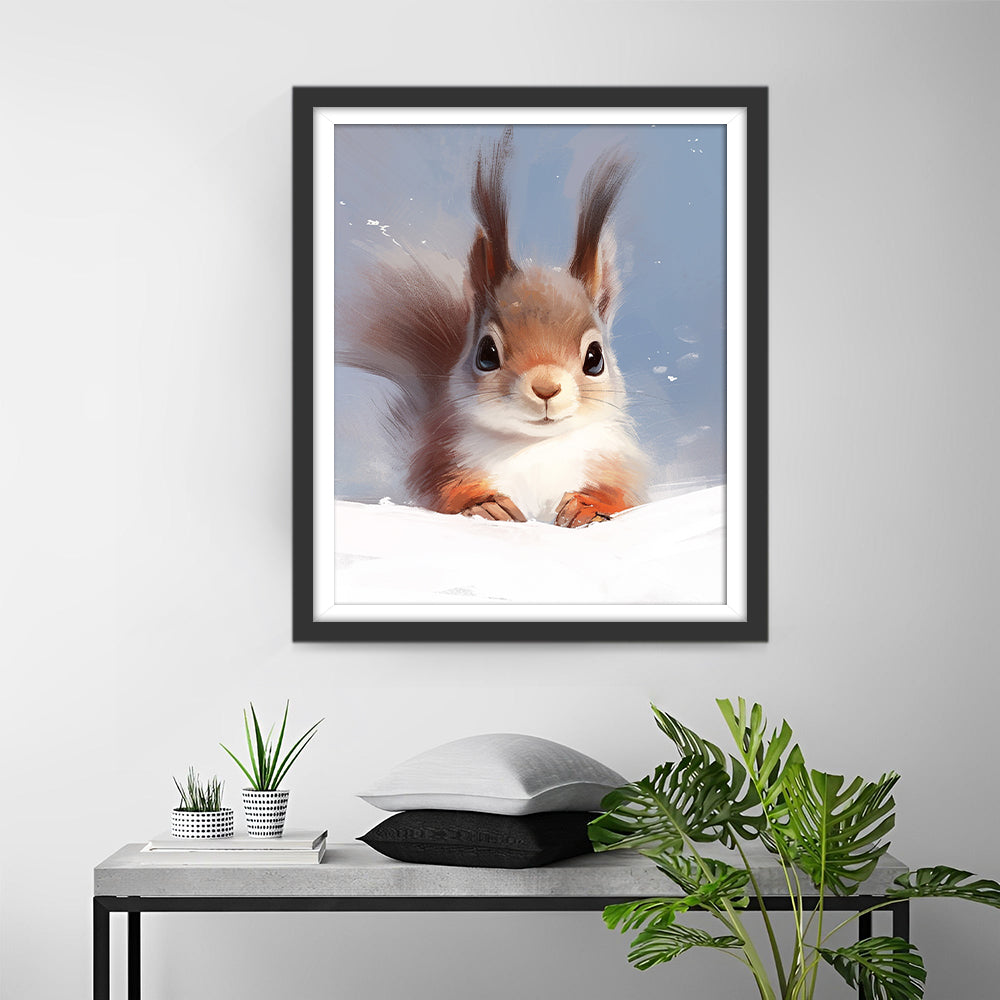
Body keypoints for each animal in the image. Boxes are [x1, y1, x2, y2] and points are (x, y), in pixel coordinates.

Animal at [339, 130, 648, 528]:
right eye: (486, 354)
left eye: (595, 359)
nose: (545, 388)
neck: (534, 444)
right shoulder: (445, 458)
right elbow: (442, 492)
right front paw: (486, 505)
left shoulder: (615, 463)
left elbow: (623, 495)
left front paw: (587, 506)